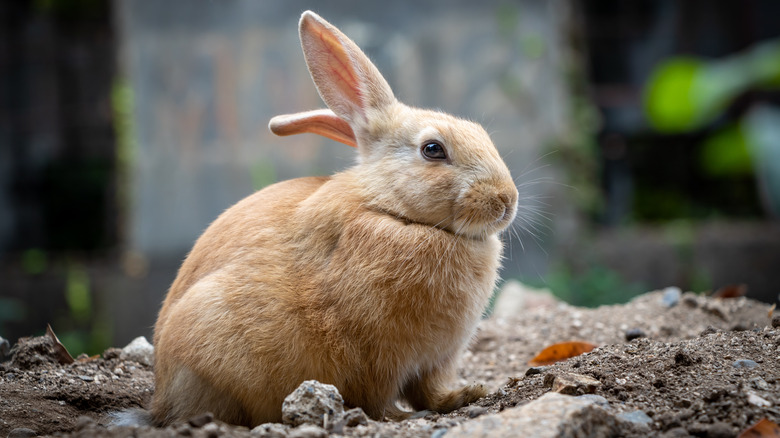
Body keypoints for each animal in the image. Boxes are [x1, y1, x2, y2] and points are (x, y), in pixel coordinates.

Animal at [150, 10, 520, 428]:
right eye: (432, 149)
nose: (506, 200)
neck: (390, 209)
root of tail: (161, 396)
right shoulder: (378, 356)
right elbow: (380, 396)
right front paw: (398, 418)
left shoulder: (437, 362)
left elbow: (431, 390)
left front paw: (468, 393)